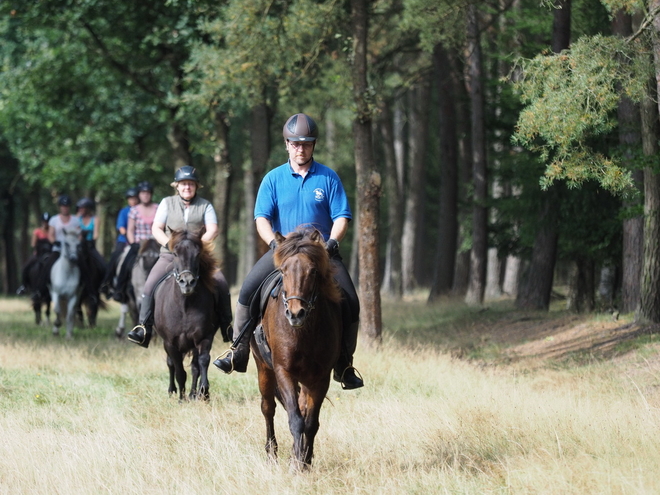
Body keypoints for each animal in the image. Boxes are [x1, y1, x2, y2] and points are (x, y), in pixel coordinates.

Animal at [155, 232, 224, 404]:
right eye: (174, 253)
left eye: (198, 254)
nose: (187, 282)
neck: (185, 306)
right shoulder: (170, 343)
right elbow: (179, 370)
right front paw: (181, 398)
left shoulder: (203, 338)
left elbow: (202, 363)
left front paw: (203, 392)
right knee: (171, 364)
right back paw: (173, 391)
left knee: (194, 367)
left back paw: (193, 394)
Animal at [253, 229, 342, 468]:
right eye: (283, 270)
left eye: (313, 271)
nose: (295, 314)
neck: (303, 333)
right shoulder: (284, 371)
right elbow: (295, 419)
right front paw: (296, 464)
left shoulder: (320, 377)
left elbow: (310, 422)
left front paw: (304, 460)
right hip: (264, 369)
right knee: (268, 408)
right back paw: (271, 454)